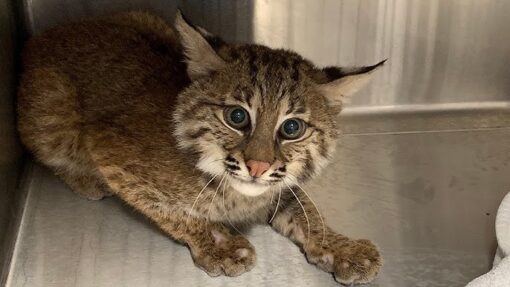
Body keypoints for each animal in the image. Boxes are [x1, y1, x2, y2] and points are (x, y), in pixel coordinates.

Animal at [18, 10, 382, 284]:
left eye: (292, 128)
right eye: (237, 117)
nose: (258, 167)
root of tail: (44, 34)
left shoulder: (278, 184)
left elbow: (307, 211)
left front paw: (343, 248)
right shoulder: (110, 154)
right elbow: (173, 213)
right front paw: (220, 245)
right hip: (56, 118)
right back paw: (86, 180)